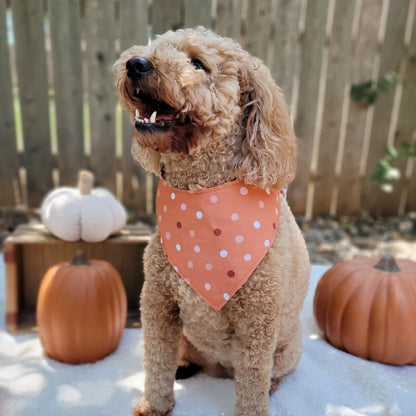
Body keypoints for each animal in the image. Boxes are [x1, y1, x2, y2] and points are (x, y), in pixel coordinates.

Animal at [114, 27, 308, 414]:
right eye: (157, 47)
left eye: (198, 63)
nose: (136, 63)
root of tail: (219, 369)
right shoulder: (158, 302)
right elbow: (156, 362)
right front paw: (154, 405)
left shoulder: (258, 319)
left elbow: (253, 381)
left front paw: (253, 410)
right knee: (182, 356)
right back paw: (185, 364)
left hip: (288, 349)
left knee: (272, 373)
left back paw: (272, 386)